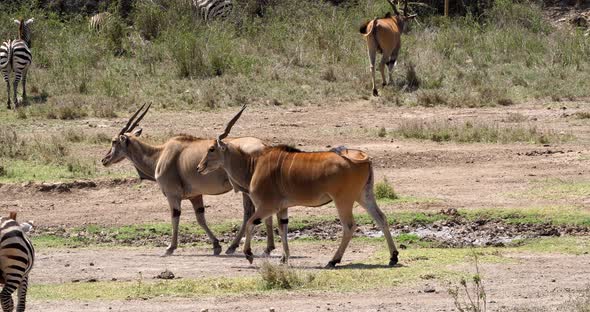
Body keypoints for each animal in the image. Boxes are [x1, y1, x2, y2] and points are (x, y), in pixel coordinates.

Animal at [102, 105, 278, 256]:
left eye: (114, 141)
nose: (104, 160)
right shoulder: (195, 196)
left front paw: (170, 248)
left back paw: (240, 247)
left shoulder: (173, 195)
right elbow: (200, 219)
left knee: (252, 212)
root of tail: (264, 146)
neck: (159, 154)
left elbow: (175, 217)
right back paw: (256, 247)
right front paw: (216, 246)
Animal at [197, 106, 400, 266]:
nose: (199, 167)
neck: (254, 165)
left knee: (349, 226)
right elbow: (283, 228)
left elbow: (250, 223)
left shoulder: (266, 206)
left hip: (343, 200)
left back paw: (333, 260)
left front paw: (249, 254)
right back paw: (393, 257)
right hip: (364, 195)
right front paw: (284, 258)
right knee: (381, 218)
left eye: (212, 149)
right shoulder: (282, 208)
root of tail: (363, 158)